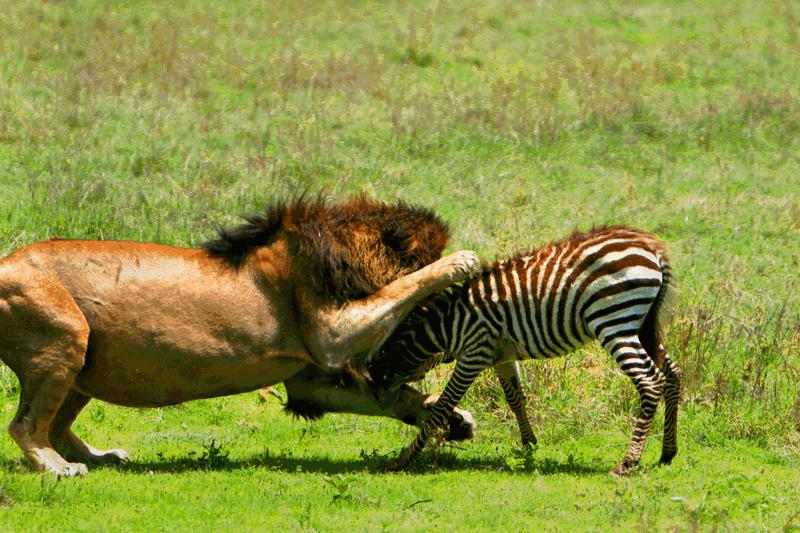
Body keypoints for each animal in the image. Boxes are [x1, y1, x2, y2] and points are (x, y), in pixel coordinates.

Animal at [0, 195, 479, 476]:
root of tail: (6, 263)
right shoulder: (332, 336)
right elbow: (402, 287)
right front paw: (460, 261)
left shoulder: (309, 380)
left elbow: (395, 399)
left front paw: (451, 417)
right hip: (66, 334)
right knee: (26, 426)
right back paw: (58, 467)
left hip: (85, 362)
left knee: (57, 424)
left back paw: (99, 457)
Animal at [367, 225, 681, 476]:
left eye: (383, 355)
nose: (376, 394)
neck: (449, 326)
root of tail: (652, 249)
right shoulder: (501, 354)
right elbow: (515, 397)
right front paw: (530, 443)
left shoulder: (474, 352)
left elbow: (442, 406)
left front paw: (403, 460)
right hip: (644, 324)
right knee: (673, 374)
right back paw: (667, 453)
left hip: (613, 321)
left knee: (650, 382)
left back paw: (627, 463)